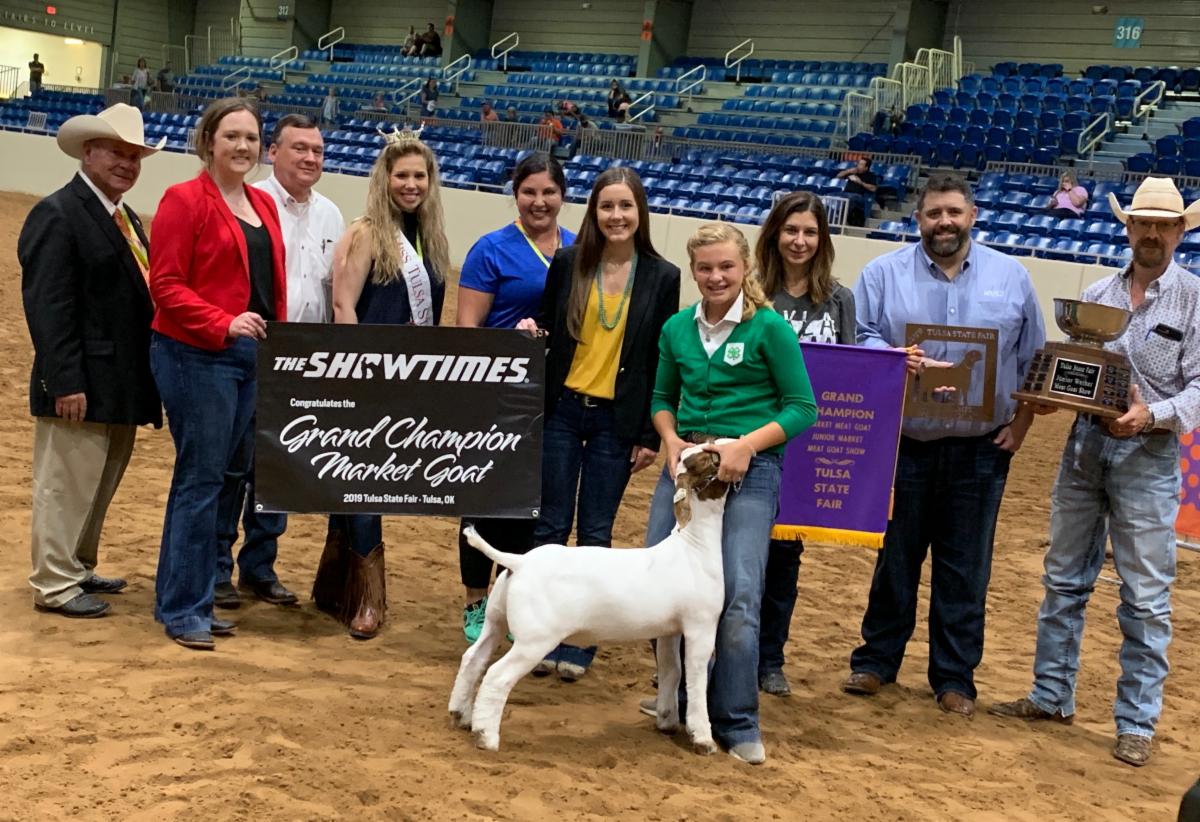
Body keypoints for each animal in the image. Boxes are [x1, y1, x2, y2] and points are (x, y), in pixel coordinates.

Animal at [447, 443, 732, 754]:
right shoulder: (701, 627)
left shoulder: (669, 631)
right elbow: (695, 679)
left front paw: (667, 721)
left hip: (496, 621)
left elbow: (672, 671)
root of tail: (519, 562)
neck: (693, 547)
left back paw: (460, 714)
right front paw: (702, 738)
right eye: (710, 459)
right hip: (534, 639)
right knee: (497, 677)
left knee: (473, 659)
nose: (725, 448)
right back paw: (486, 736)